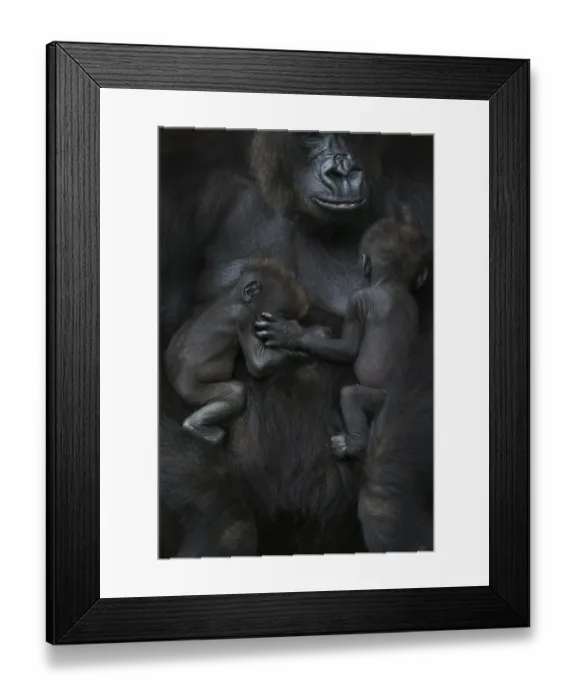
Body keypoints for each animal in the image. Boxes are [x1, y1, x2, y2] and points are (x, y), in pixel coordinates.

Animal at [165, 260, 309, 444]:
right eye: (280, 314)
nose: (283, 325)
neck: (235, 298)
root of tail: (174, 383)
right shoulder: (244, 316)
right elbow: (258, 364)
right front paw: (300, 350)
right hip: (191, 389)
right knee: (235, 393)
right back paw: (196, 426)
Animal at [255, 209, 429, 458]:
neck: (391, 282)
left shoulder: (357, 301)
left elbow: (348, 349)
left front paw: (292, 334)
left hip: (378, 397)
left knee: (350, 396)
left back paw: (353, 444)